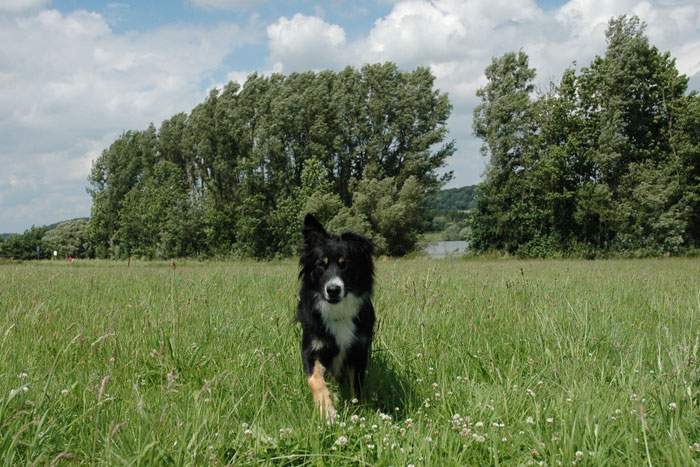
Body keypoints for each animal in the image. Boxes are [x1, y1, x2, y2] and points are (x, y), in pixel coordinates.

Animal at [296, 214, 374, 422]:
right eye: (320, 265)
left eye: (344, 264)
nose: (332, 290)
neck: (338, 310)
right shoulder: (312, 348)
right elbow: (315, 379)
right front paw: (328, 411)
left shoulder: (358, 350)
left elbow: (357, 388)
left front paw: (357, 414)